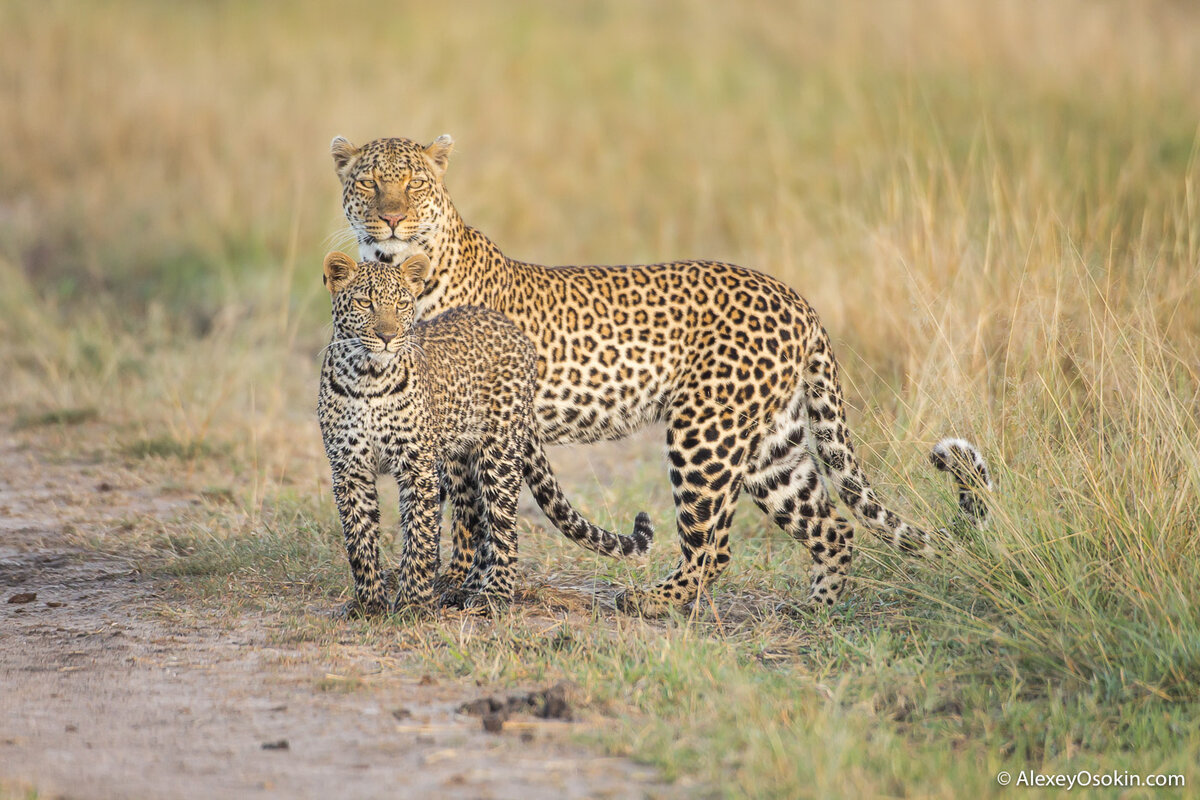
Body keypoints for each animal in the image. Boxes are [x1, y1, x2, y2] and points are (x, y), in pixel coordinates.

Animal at [331, 134, 993, 618]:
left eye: (414, 184)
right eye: (369, 183)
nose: (392, 219)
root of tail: (798, 299)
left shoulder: (469, 420)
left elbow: (468, 514)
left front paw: (457, 589)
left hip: (705, 431)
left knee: (714, 546)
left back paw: (651, 601)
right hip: (772, 446)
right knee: (831, 526)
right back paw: (819, 612)